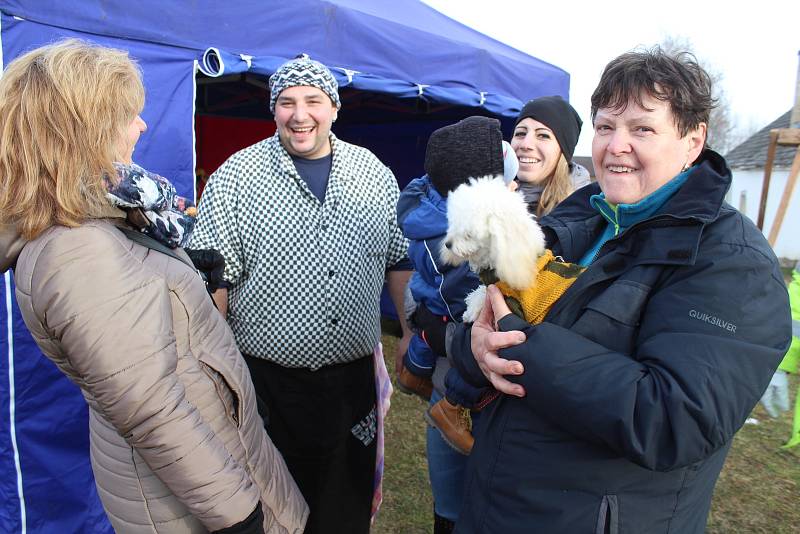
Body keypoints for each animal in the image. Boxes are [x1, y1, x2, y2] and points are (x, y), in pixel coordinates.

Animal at [440, 178, 548, 324]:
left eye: (469, 234)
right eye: (454, 224)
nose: (448, 244)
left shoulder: (512, 302)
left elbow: (483, 297)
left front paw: (470, 311)